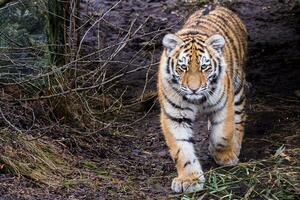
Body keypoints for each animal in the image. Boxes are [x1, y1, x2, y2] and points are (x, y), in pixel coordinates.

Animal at [157, 5, 246, 192]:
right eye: (182, 67)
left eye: (205, 67)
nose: (194, 88)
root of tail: (215, 5)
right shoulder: (175, 116)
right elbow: (181, 149)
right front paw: (189, 180)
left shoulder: (223, 105)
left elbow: (222, 135)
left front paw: (224, 156)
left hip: (238, 87)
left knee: (239, 118)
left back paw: (235, 146)